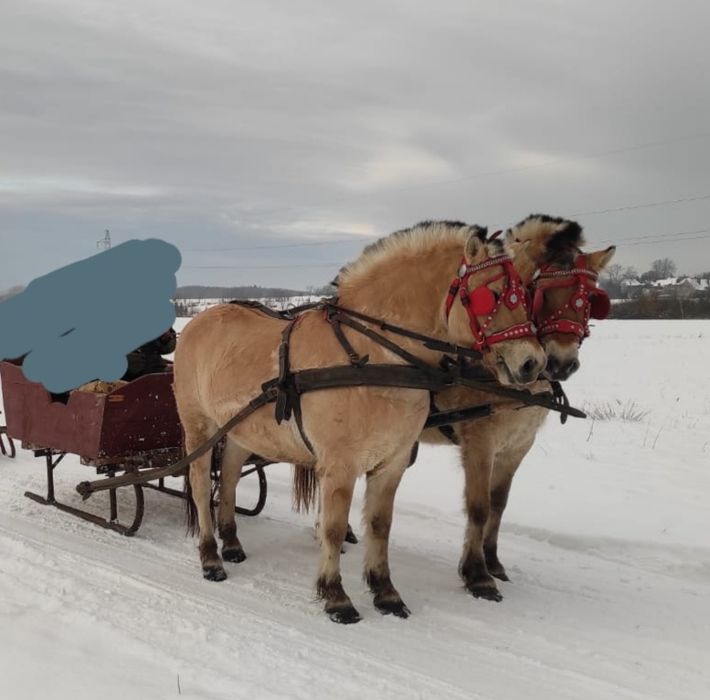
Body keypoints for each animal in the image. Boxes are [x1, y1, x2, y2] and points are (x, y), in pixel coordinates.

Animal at [174, 220, 544, 624]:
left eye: (527, 296)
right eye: (491, 295)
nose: (533, 362)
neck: (370, 355)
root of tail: (197, 322)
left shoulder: (392, 462)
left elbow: (380, 525)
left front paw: (385, 591)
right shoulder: (339, 465)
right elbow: (334, 528)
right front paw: (336, 596)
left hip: (242, 430)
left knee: (227, 478)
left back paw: (231, 542)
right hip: (199, 427)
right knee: (199, 485)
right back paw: (210, 556)